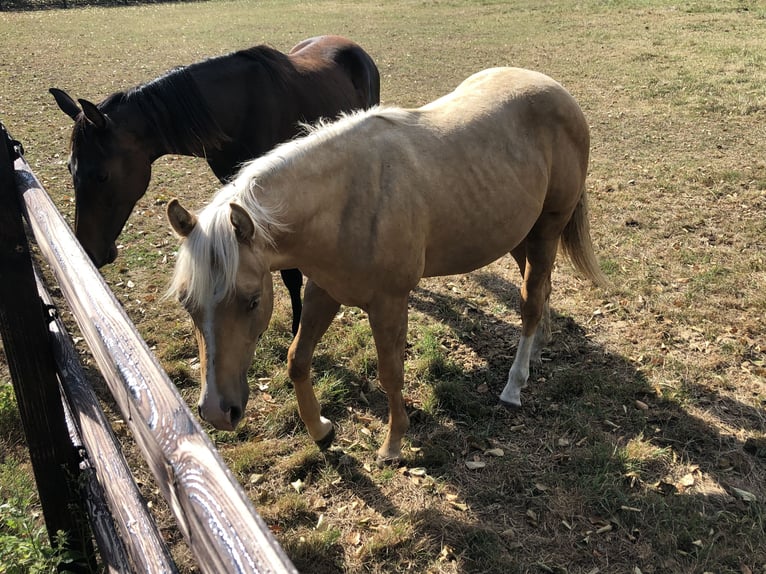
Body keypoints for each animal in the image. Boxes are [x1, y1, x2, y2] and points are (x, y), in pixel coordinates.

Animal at [50, 35, 380, 334]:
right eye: (69, 168)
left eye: (102, 175)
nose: (88, 251)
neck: (239, 113)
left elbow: (290, 274)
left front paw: (296, 326)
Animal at [166, 67, 608, 466]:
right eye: (188, 305)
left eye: (253, 300)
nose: (217, 412)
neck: (345, 200)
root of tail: (557, 92)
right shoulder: (324, 291)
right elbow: (297, 359)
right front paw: (321, 431)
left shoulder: (388, 303)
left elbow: (390, 373)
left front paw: (393, 445)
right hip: (518, 233)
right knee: (541, 288)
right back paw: (536, 352)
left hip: (547, 229)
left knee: (530, 300)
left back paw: (515, 385)